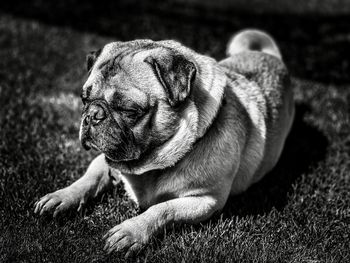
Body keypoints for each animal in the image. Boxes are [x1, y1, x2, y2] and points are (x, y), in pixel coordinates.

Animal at [33, 29, 296, 258]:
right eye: (84, 99)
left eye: (129, 110)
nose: (92, 115)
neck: (147, 166)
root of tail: (271, 55)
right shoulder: (106, 159)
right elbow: (89, 178)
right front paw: (62, 196)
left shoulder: (206, 200)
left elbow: (162, 209)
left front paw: (131, 231)